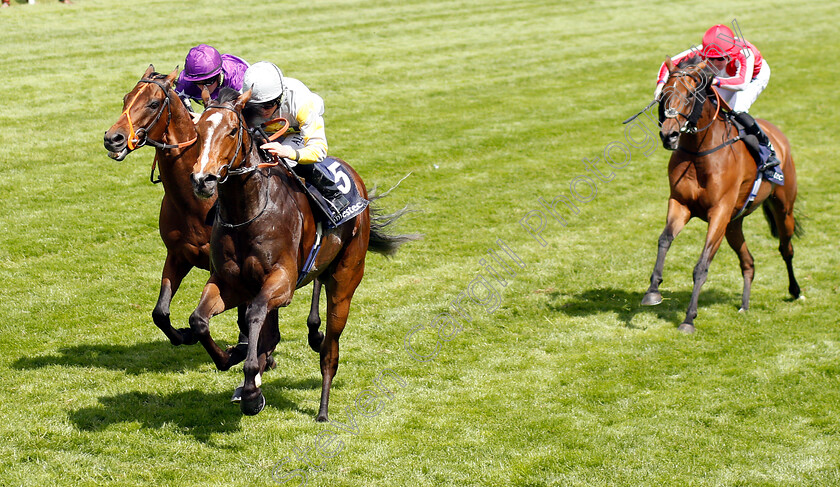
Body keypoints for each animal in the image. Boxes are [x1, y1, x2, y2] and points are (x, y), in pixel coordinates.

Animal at [188, 87, 416, 420]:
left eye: (231, 131)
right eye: (198, 131)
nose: (202, 180)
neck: (249, 211)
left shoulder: (281, 282)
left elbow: (255, 313)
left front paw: (252, 391)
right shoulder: (230, 282)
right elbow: (199, 320)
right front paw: (231, 359)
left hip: (345, 282)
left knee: (330, 350)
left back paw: (322, 407)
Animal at [640, 57, 804, 332]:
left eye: (690, 95)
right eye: (664, 96)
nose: (669, 135)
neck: (699, 153)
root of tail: (777, 134)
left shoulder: (719, 212)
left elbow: (701, 265)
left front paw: (689, 319)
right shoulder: (681, 204)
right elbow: (664, 240)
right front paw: (653, 291)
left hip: (783, 207)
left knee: (786, 248)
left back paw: (795, 290)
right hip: (733, 225)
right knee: (748, 262)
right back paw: (744, 305)